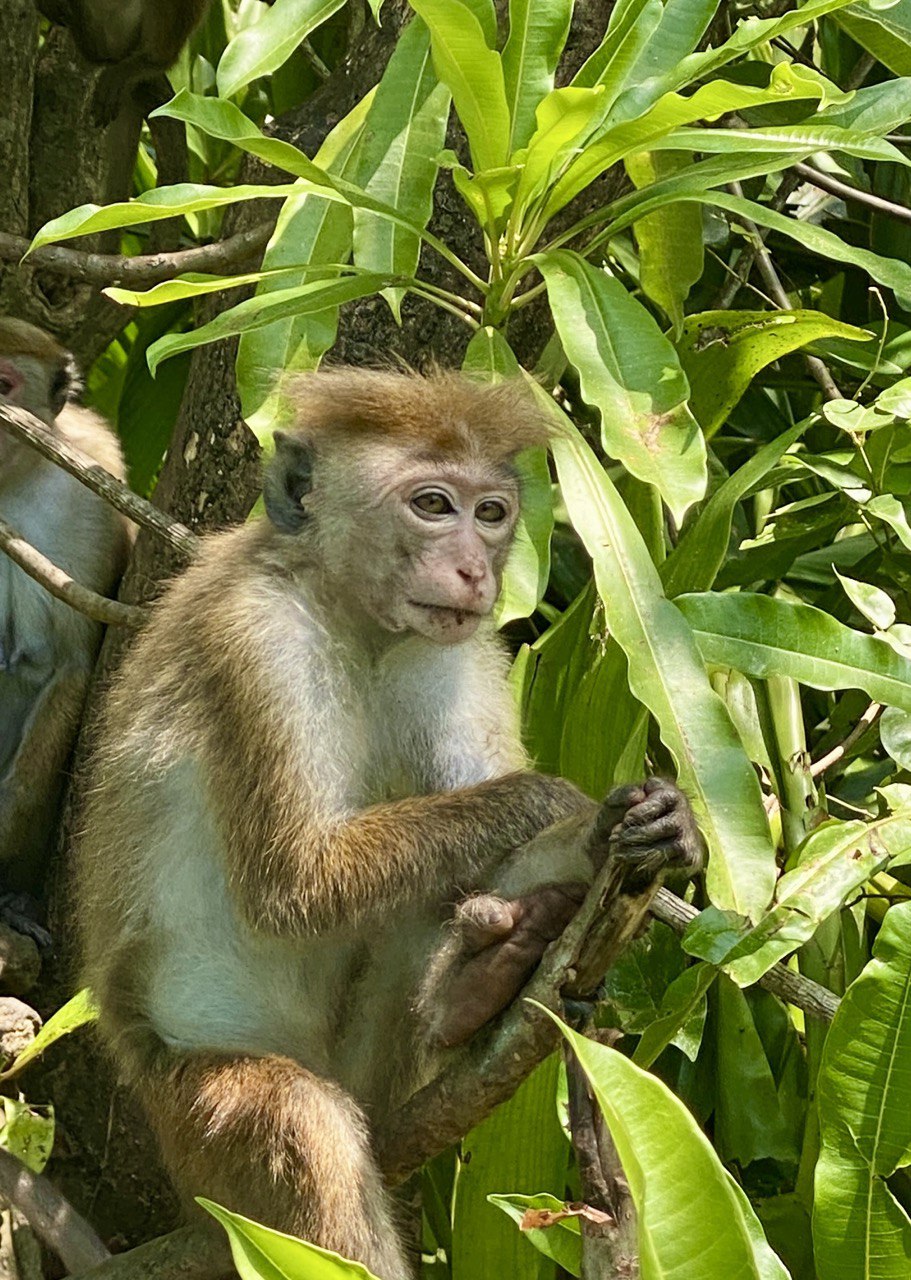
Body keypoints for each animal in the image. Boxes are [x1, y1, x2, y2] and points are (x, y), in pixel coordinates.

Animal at [73, 370, 703, 1279]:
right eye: (432, 505)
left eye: (490, 512)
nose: (474, 568)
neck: (352, 617)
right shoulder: (255, 641)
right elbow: (295, 883)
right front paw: (564, 804)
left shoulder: (456, 649)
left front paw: (639, 830)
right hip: (195, 1131)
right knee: (304, 1127)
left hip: (382, 1077)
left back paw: (475, 983)